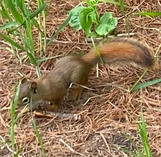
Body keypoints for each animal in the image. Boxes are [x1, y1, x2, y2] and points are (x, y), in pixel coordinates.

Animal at [17, 37, 153, 111]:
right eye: (17, 93)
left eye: (25, 99)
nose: (16, 106)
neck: (42, 88)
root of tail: (83, 61)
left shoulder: (57, 92)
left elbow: (58, 100)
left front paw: (53, 107)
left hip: (77, 77)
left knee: (83, 83)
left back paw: (75, 94)